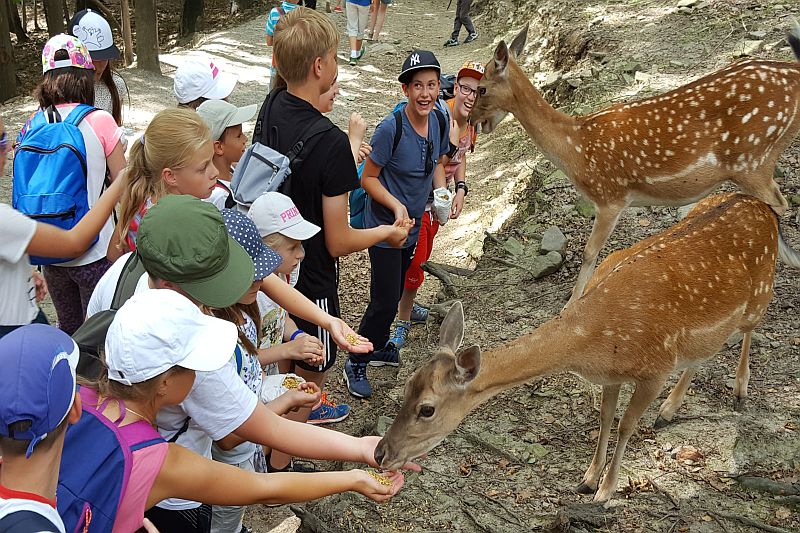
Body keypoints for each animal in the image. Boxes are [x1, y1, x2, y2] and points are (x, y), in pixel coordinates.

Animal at [374, 193, 800, 500]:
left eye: (427, 409)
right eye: (407, 385)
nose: (380, 452)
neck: (594, 341)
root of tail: (763, 207)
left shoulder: (656, 367)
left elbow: (626, 424)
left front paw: (606, 491)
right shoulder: (613, 375)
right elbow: (606, 418)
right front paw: (587, 478)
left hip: (760, 295)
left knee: (747, 332)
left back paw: (739, 390)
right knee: (706, 350)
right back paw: (670, 409)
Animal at [468, 25, 800, 306]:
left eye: (482, 88)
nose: (472, 120)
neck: (575, 148)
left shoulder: (610, 196)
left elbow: (589, 252)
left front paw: (571, 303)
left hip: (753, 157)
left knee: (778, 203)